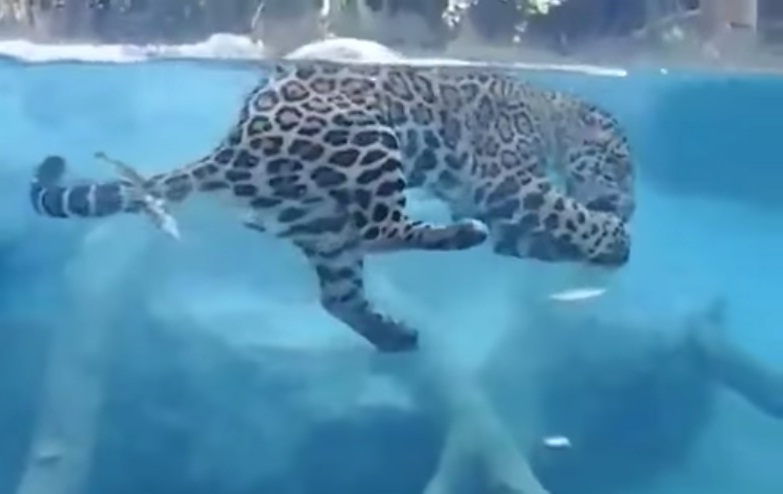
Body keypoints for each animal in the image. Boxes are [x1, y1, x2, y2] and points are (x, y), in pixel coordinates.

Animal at [28, 59, 633, 353]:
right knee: (379, 230)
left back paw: (395, 334)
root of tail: (233, 148)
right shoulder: (508, 185)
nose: (628, 202)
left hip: (318, 222)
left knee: (340, 294)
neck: (551, 116)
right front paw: (619, 238)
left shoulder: (509, 214)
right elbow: (571, 214)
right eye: (622, 165)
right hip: (370, 141)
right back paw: (458, 236)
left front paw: (609, 243)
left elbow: (540, 235)